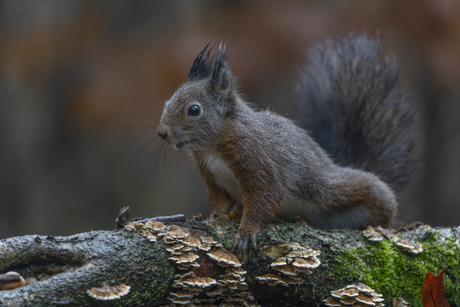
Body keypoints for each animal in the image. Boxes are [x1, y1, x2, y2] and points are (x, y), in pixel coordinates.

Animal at [156, 33, 416, 264]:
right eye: (167, 102)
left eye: (194, 110)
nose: (162, 133)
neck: (211, 147)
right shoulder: (212, 177)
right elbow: (220, 202)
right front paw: (212, 216)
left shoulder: (256, 159)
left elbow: (266, 196)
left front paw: (246, 231)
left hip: (341, 190)